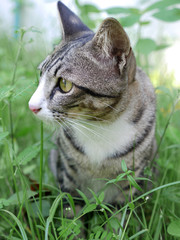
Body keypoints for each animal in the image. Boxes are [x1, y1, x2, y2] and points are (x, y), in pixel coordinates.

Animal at [28, 1, 156, 204]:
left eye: (64, 84)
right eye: (40, 74)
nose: (31, 106)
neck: (100, 126)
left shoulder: (133, 178)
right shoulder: (67, 173)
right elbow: (70, 206)